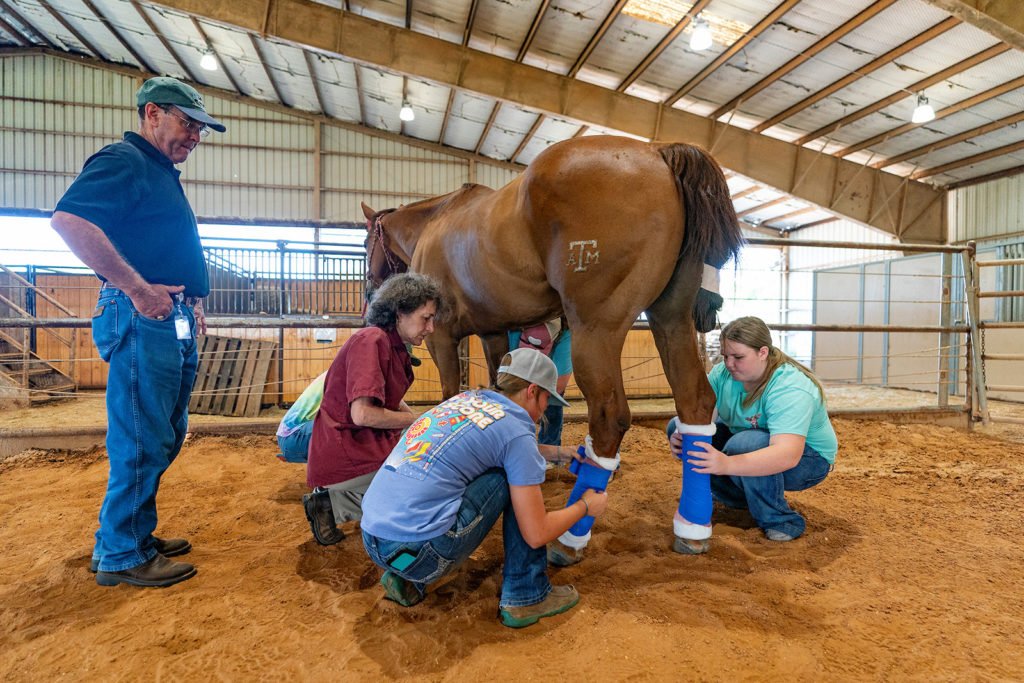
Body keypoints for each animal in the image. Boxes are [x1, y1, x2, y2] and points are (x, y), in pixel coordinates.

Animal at [364, 136, 741, 462]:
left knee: (610, 416)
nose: (371, 288)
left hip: (597, 331)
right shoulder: (493, 333)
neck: (436, 221)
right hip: (671, 320)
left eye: (366, 240)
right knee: (695, 400)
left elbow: (449, 394)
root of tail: (657, 151)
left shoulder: (441, 339)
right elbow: (500, 384)